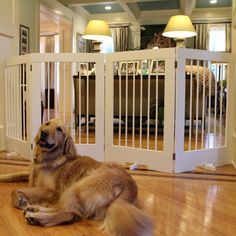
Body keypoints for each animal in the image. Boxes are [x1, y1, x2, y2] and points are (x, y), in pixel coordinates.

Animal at [0, 120, 153, 236]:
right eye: (47, 123)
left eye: (59, 129)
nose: (44, 132)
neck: (49, 158)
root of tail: (129, 186)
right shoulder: (32, 175)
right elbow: (15, 174)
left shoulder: (52, 191)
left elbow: (15, 190)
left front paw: (20, 200)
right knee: (65, 209)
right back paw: (34, 210)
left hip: (78, 185)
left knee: (69, 213)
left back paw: (36, 218)